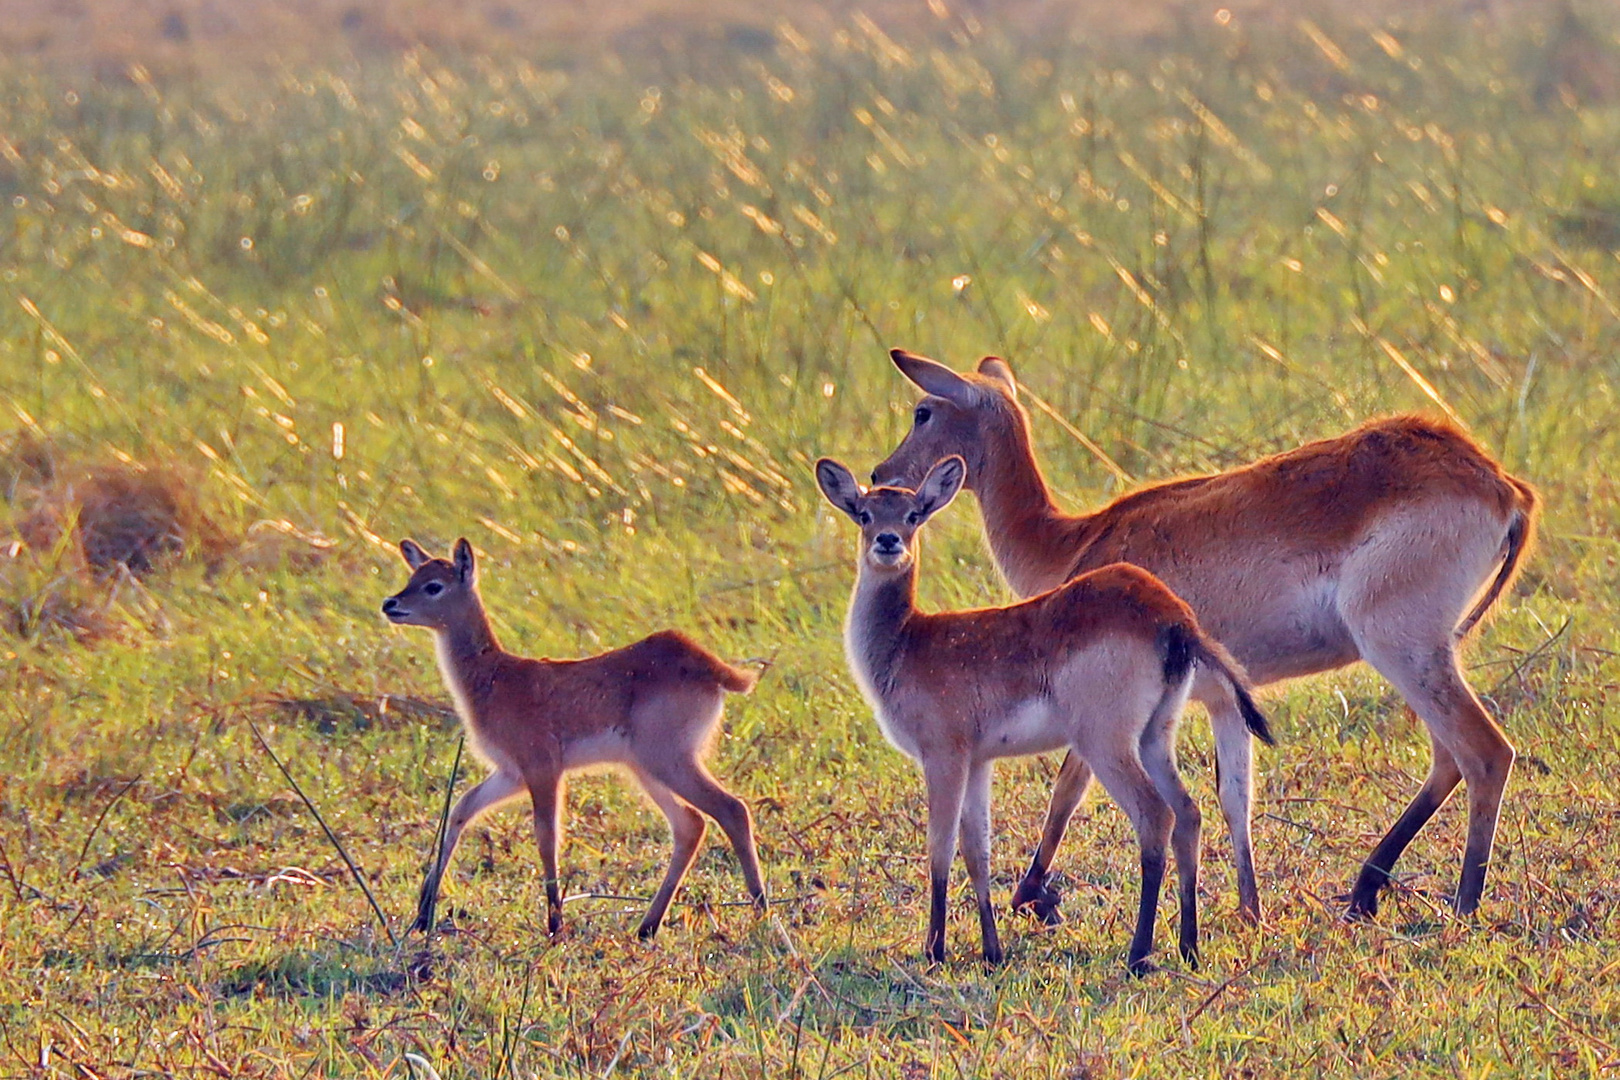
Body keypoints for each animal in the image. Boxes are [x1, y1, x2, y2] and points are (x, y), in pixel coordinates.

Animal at [388, 537, 774, 939]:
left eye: (434, 586)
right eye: (413, 576)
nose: (390, 604)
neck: (494, 677)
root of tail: (712, 667)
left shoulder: (542, 767)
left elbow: (546, 836)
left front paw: (555, 923)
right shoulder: (511, 772)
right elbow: (462, 808)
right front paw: (422, 915)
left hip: (668, 761)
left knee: (731, 809)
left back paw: (761, 910)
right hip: (645, 767)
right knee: (691, 825)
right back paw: (647, 926)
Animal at [816, 453, 1270, 977]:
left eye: (913, 515)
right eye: (864, 514)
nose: (888, 542)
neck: (906, 643)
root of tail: (1172, 615)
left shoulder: (943, 755)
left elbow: (939, 848)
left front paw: (934, 950)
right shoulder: (978, 761)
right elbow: (977, 850)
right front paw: (991, 953)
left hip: (1105, 742)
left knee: (1156, 816)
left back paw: (1139, 955)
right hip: (1155, 734)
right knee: (1189, 814)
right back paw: (1188, 948)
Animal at [874, 351, 1542, 926]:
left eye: (922, 410)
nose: (883, 475)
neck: (1071, 541)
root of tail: (1500, 484)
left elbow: (1068, 785)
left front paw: (1032, 896)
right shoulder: (1223, 699)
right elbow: (1234, 795)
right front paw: (1250, 911)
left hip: (1401, 649)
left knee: (1484, 753)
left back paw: (1462, 905)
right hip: (1426, 654)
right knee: (1447, 758)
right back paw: (1364, 893)